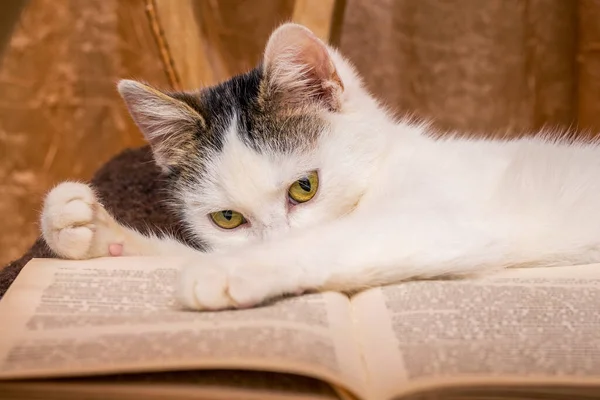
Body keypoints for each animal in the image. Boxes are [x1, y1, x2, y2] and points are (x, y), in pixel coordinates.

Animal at [39, 21, 600, 310]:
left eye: (304, 188)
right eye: (228, 219)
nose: (269, 243)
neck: (385, 165)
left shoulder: (446, 220)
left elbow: (338, 239)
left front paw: (233, 270)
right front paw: (92, 230)